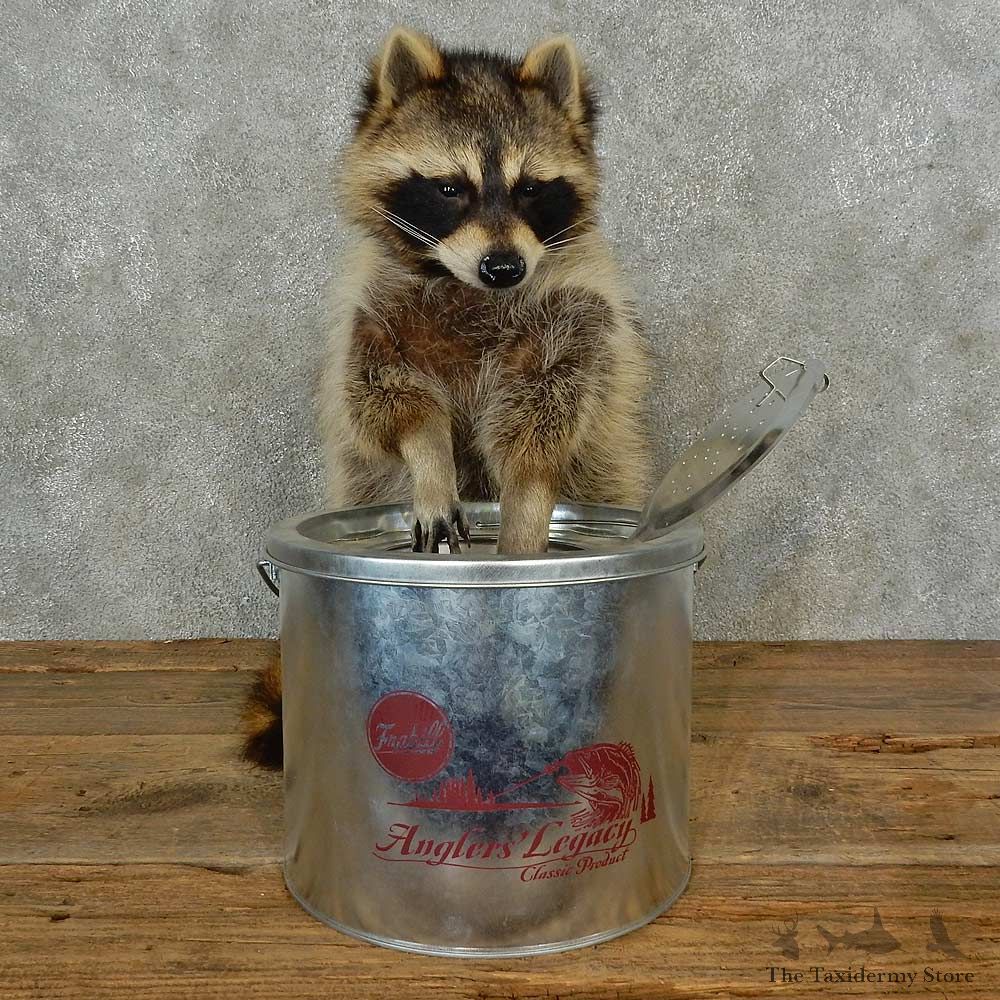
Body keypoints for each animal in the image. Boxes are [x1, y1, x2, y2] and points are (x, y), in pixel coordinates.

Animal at [242, 28, 652, 769]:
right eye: (449, 188)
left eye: (530, 188)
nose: (504, 267)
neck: (469, 287)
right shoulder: (373, 314)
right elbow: (389, 404)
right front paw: (430, 461)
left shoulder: (577, 315)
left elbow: (542, 423)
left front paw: (526, 508)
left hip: (612, 464)